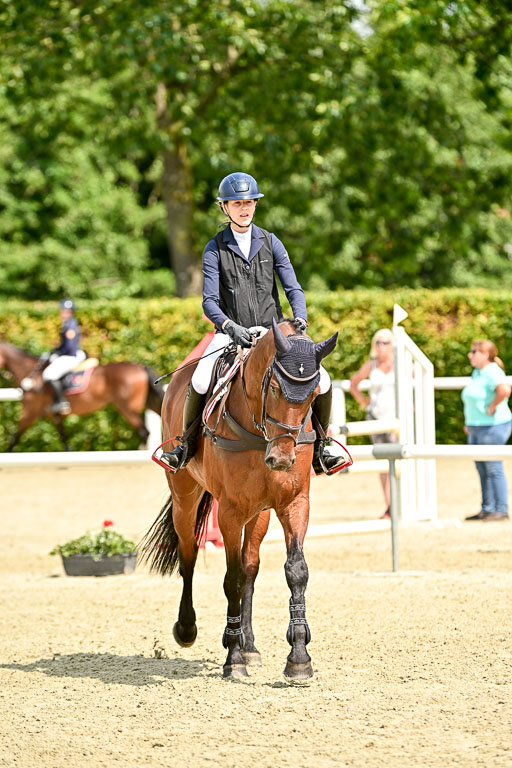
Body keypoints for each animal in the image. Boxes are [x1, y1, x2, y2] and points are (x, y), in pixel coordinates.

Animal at [0, 341, 164, 451]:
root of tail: (141, 367)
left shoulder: (29, 412)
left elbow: (15, 438)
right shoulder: (55, 416)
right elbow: (64, 439)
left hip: (127, 408)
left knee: (144, 432)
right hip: (149, 403)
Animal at [141, 319, 340, 684]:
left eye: (314, 394)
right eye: (273, 388)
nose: (281, 459)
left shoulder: (294, 503)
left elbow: (295, 571)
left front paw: (299, 658)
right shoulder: (230, 512)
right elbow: (230, 579)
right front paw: (233, 660)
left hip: (258, 512)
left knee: (250, 566)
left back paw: (249, 645)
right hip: (185, 498)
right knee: (189, 556)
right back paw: (188, 629)